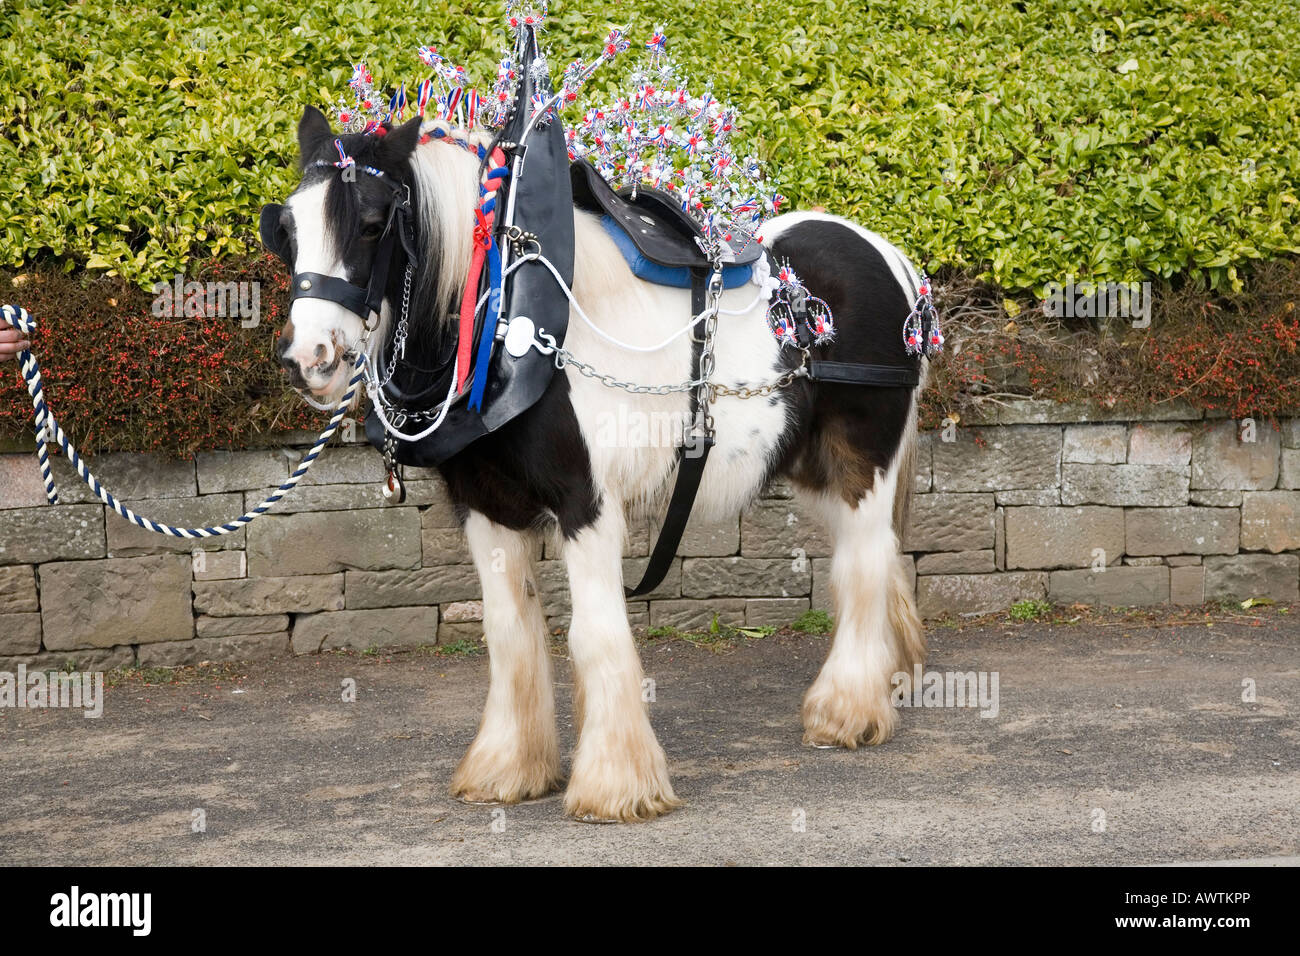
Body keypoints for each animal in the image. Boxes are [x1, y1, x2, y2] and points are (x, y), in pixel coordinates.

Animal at [266, 105, 928, 822]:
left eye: (369, 223)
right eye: (288, 229)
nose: (309, 360)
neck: (516, 327)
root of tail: (889, 256)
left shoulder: (586, 503)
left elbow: (595, 634)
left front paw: (615, 784)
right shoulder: (487, 508)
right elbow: (508, 633)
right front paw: (508, 768)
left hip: (864, 466)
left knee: (862, 566)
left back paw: (846, 711)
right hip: (816, 472)